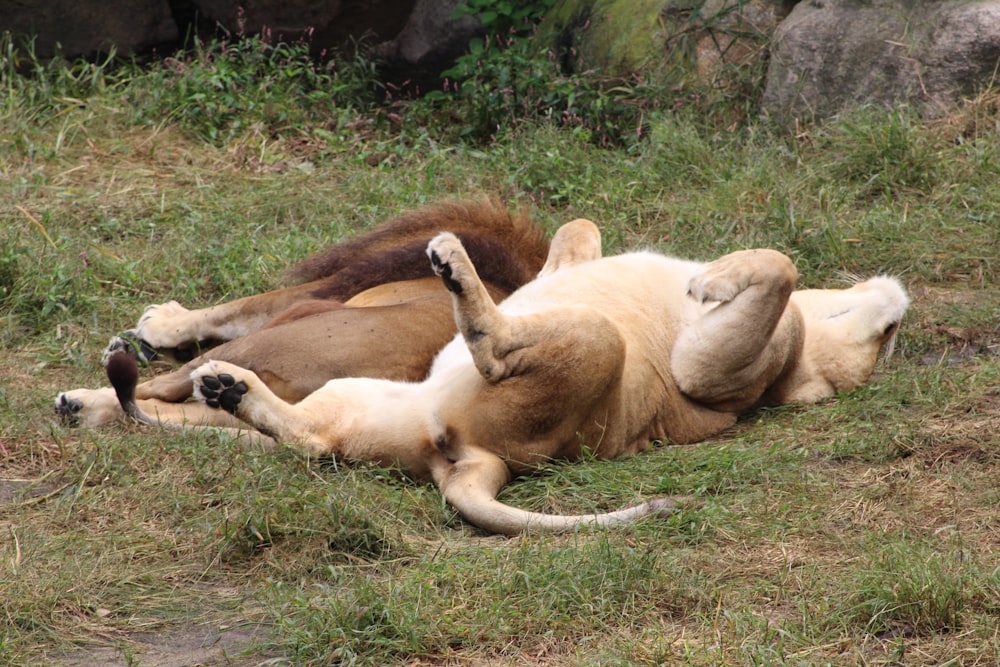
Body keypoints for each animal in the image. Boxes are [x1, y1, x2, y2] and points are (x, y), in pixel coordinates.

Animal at [52, 198, 548, 428]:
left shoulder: (306, 299)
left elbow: (234, 308)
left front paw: (158, 323)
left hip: (269, 337)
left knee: (150, 390)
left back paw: (79, 401)